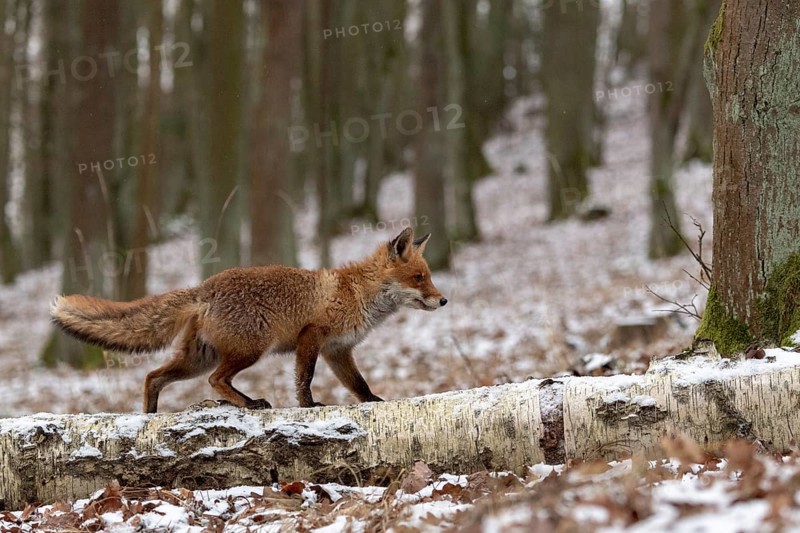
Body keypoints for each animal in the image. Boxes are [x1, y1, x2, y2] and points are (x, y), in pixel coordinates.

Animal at [50, 227, 447, 413]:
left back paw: (149, 416)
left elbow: (359, 385)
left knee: (153, 377)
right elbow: (304, 379)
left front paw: (374, 401)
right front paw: (308, 406)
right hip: (249, 350)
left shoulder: (338, 351)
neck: (356, 293)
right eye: (419, 278)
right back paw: (249, 403)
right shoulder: (312, 336)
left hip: (197, 359)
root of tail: (204, 287)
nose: (443, 300)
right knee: (215, 380)